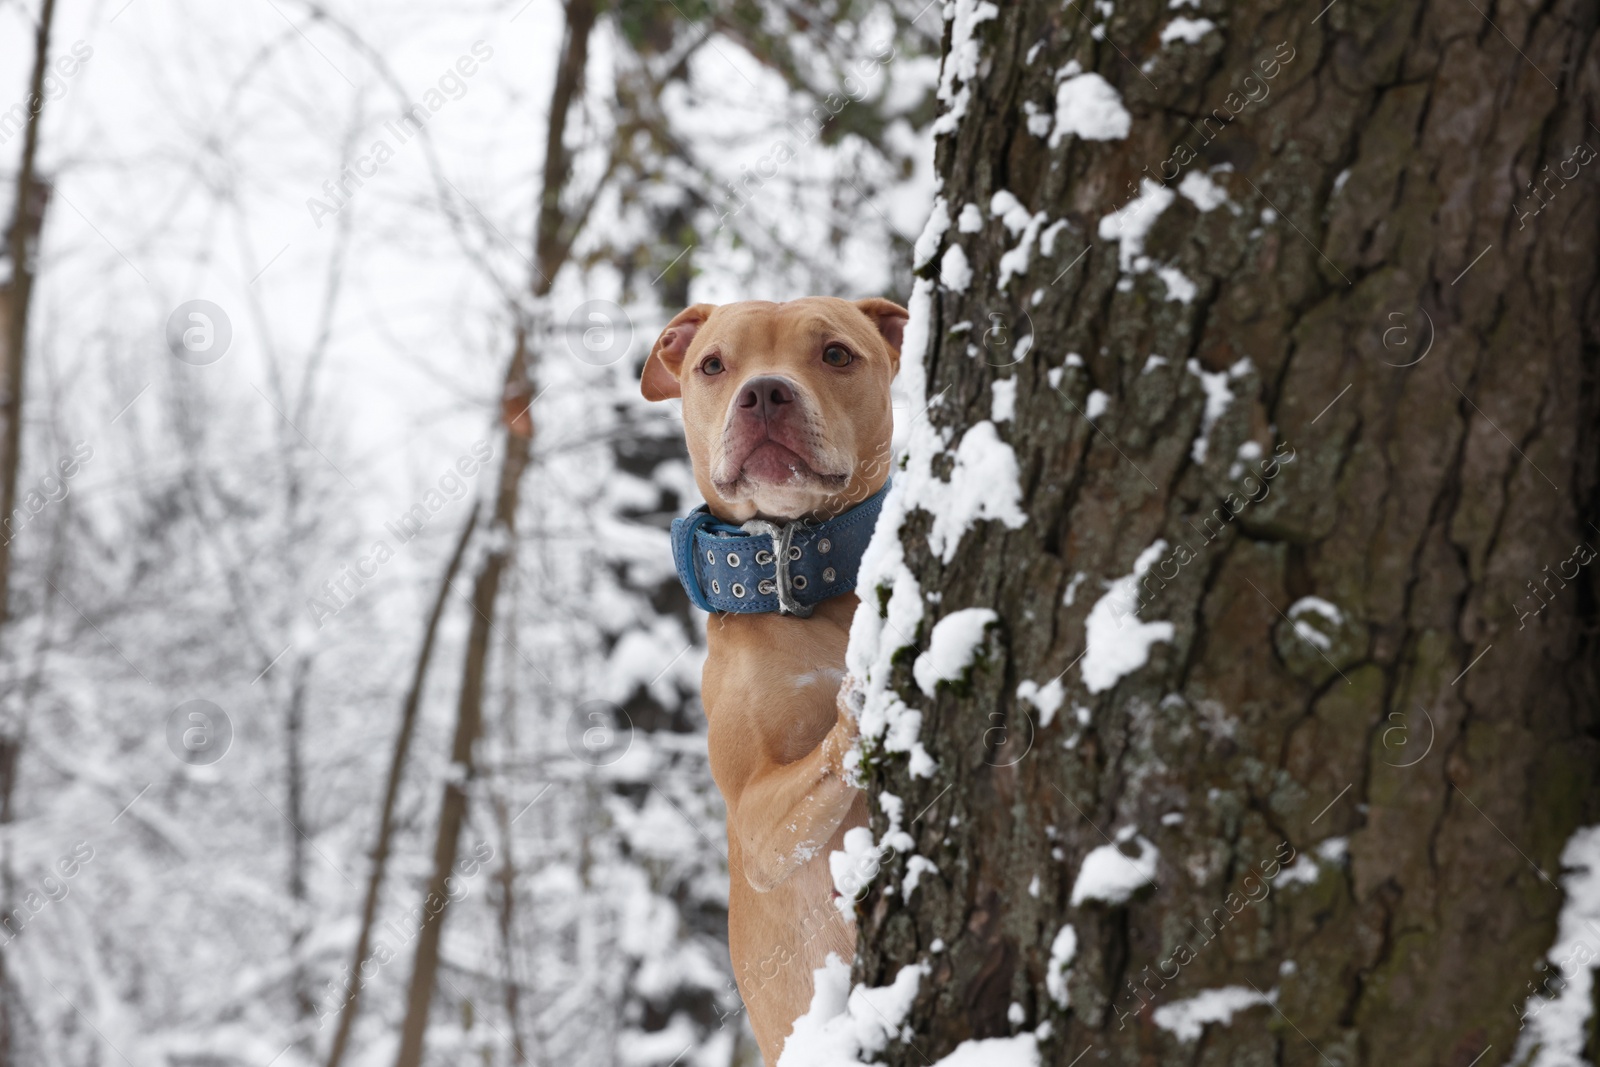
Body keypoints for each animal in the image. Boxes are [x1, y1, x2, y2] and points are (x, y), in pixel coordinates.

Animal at [643, 295, 908, 1062]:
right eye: (712, 364)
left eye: (836, 354)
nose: (763, 392)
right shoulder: (756, 822)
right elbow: (822, 760)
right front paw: (862, 689)